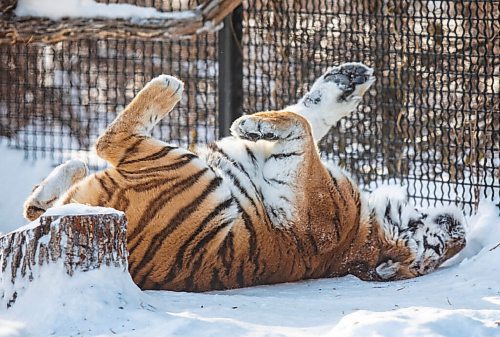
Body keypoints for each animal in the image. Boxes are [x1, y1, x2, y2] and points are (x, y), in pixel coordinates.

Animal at [20, 63, 464, 292]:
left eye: (434, 254)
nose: (458, 230)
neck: (370, 230)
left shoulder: (312, 199)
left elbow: (302, 124)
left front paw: (249, 122)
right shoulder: (280, 162)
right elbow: (309, 115)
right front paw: (347, 80)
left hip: (189, 173)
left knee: (111, 142)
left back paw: (168, 86)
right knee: (56, 190)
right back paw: (44, 191)